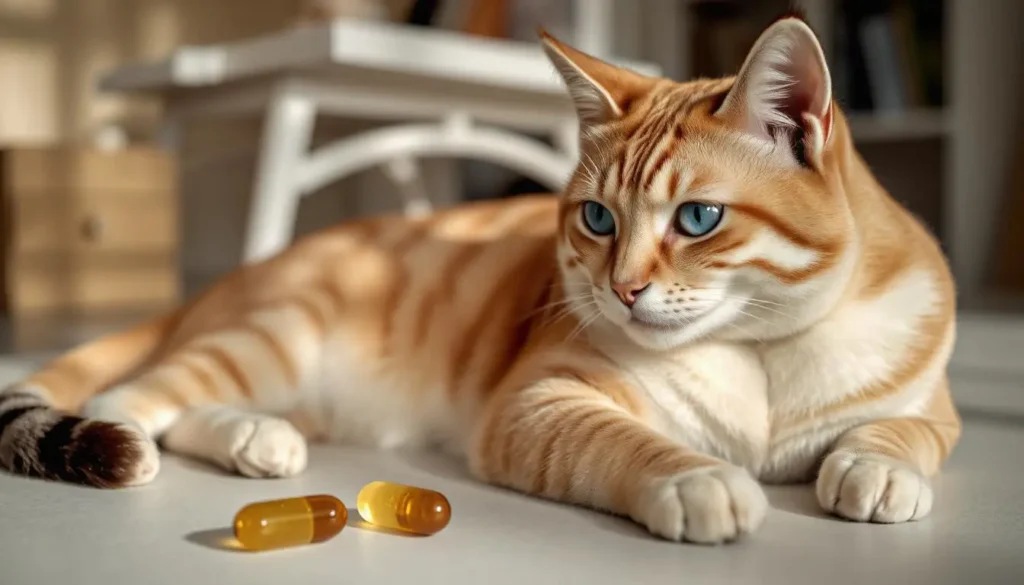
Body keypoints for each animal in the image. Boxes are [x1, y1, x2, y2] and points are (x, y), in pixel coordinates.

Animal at [0, 14, 958, 545]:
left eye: (697, 220)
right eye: (597, 218)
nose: (622, 291)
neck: (760, 351)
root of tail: (241, 274)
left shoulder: (929, 400)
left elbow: (903, 432)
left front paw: (877, 471)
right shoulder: (539, 403)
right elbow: (631, 444)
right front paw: (701, 481)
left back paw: (257, 440)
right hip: (271, 339)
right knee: (134, 396)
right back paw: (151, 444)